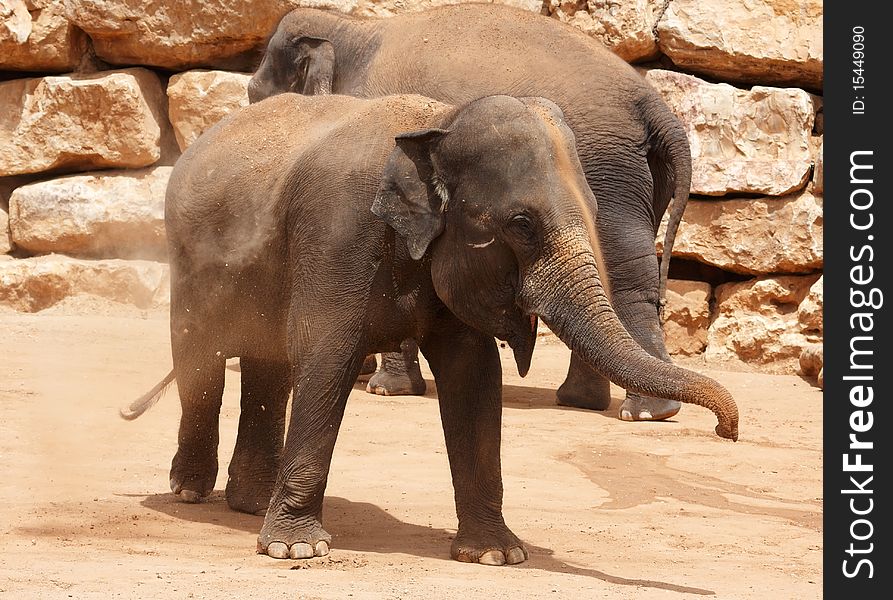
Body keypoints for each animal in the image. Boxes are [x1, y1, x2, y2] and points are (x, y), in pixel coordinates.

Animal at [123, 91, 740, 564]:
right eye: (521, 223)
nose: (727, 431)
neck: (437, 123)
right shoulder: (337, 239)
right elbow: (327, 358)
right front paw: (296, 550)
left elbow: (475, 377)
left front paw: (496, 555)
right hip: (188, 256)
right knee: (201, 360)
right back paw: (191, 491)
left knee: (265, 366)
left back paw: (249, 503)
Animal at [247, 2, 692, 422]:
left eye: (255, 95)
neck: (350, 26)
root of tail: (654, 105)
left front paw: (386, 388)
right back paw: (585, 401)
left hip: (609, 172)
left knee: (624, 274)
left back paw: (645, 411)